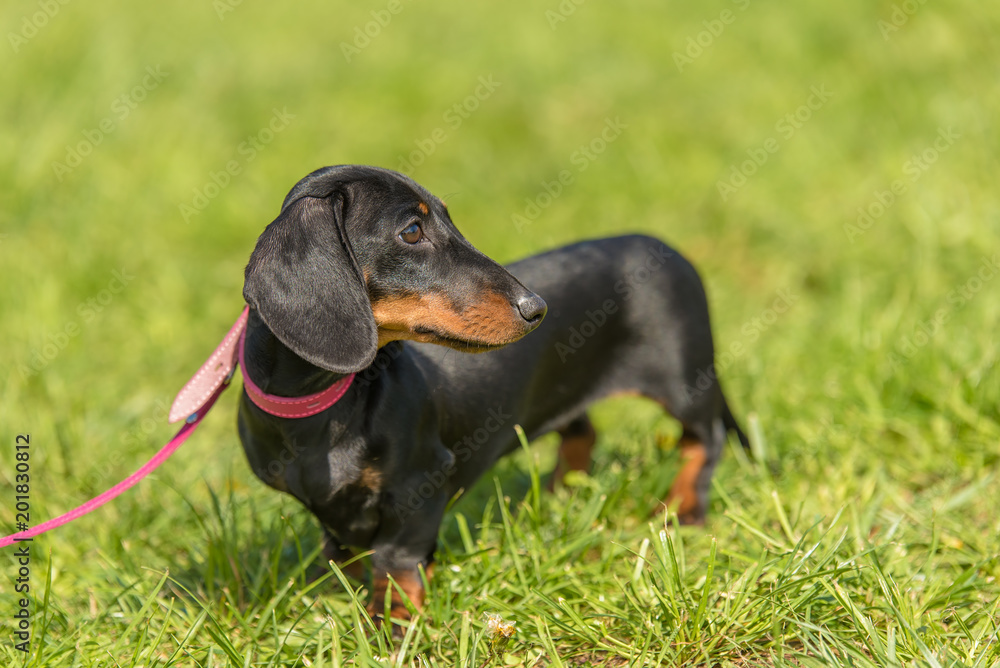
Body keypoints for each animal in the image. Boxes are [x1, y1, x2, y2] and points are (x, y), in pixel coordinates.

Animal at [238, 164, 748, 624]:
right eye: (412, 231)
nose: (537, 308)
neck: (326, 405)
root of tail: (667, 248)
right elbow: (343, 550)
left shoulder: (422, 481)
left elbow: (396, 559)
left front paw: (394, 624)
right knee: (582, 432)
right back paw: (560, 495)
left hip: (685, 383)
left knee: (704, 440)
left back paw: (684, 510)